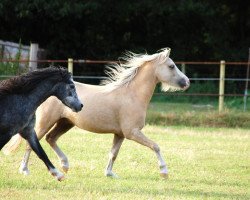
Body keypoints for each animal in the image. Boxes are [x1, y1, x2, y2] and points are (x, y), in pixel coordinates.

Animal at [5, 48, 189, 178]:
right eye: (171, 66)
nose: (186, 82)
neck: (131, 95)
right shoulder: (132, 132)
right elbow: (155, 146)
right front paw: (164, 172)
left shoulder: (120, 134)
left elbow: (113, 154)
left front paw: (109, 174)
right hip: (46, 122)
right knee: (31, 144)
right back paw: (24, 170)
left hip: (66, 122)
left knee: (51, 139)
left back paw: (65, 165)